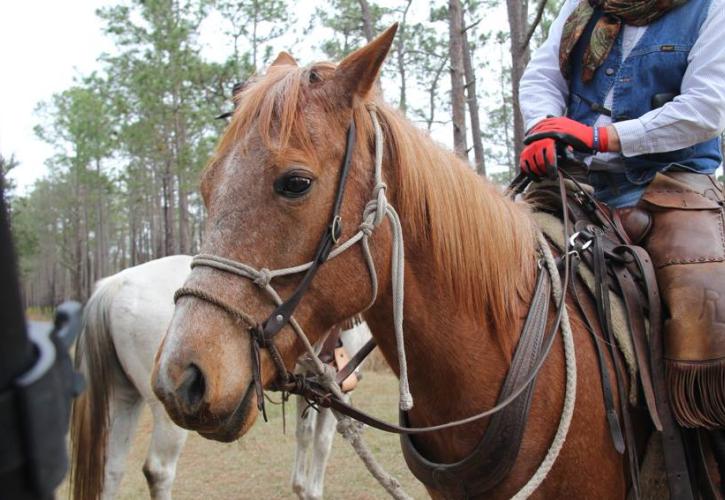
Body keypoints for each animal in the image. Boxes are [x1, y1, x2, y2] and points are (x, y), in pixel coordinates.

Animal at [70, 256, 370, 498]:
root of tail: (116, 285)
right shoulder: (337, 390)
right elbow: (323, 442)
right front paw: (312, 491)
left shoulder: (308, 385)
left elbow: (304, 434)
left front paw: (300, 488)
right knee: (158, 470)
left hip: (123, 398)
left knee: (111, 470)